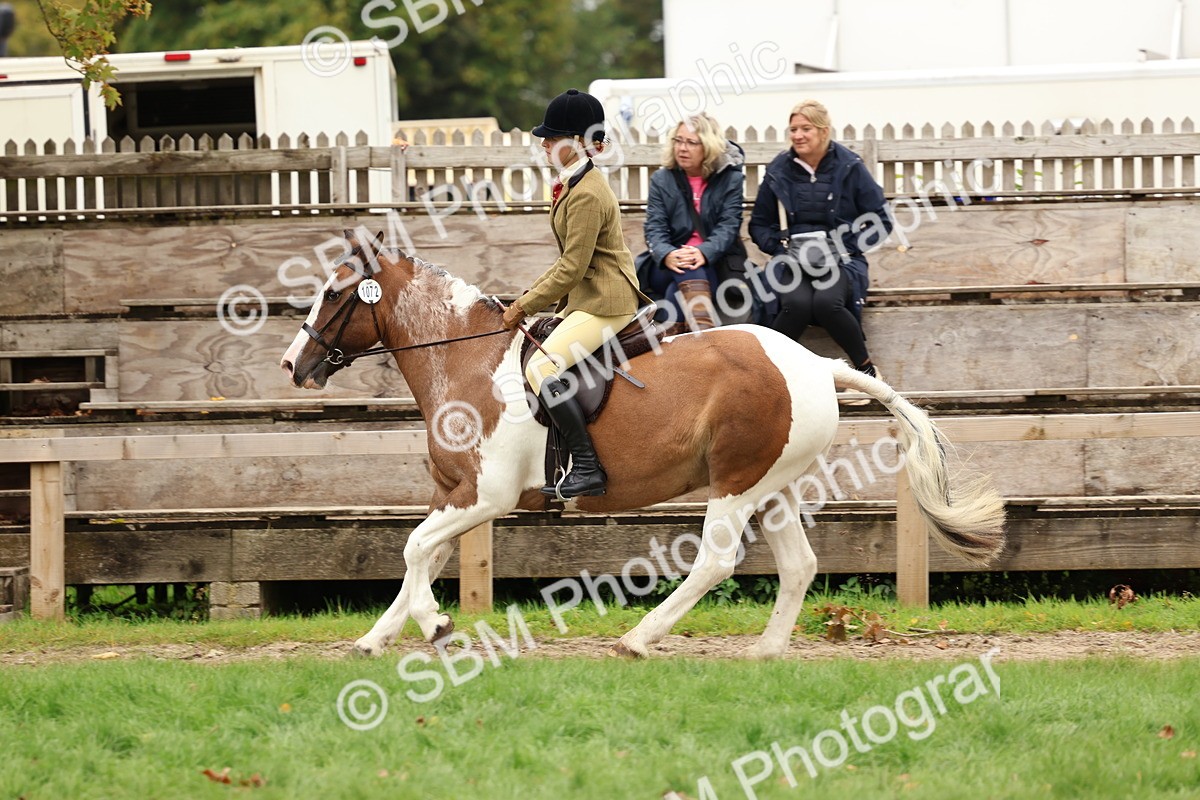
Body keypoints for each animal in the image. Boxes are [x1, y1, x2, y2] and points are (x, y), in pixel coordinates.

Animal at [280, 230, 1006, 658]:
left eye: (334, 294)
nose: (293, 364)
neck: (467, 360)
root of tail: (814, 365)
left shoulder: (484, 496)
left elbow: (413, 551)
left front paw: (433, 626)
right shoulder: (455, 494)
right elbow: (420, 559)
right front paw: (377, 638)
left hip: (735, 484)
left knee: (715, 562)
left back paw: (639, 638)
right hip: (772, 485)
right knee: (798, 565)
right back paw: (765, 652)